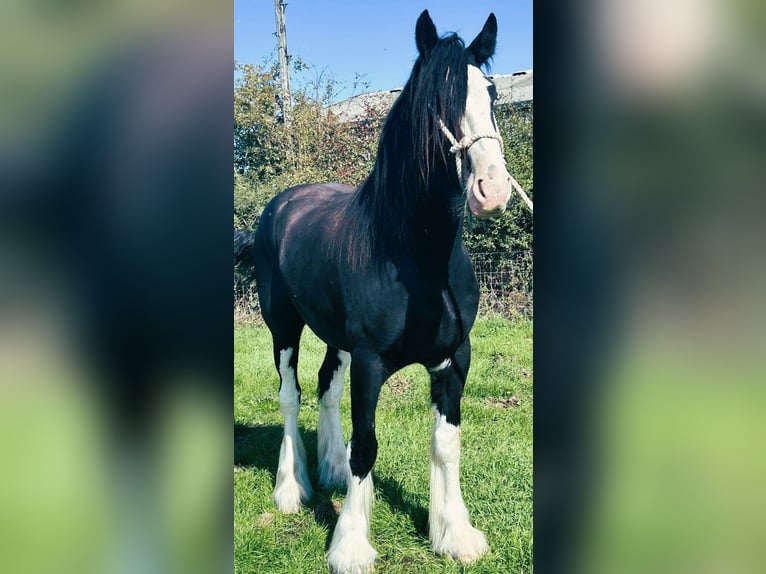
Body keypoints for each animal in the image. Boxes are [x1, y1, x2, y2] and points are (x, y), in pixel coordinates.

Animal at [250, 10, 513, 573]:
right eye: (436, 99)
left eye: (491, 93)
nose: (493, 190)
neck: (418, 261)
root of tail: (282, 204)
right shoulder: (370, 363)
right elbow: (366, 446)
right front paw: (350, 544)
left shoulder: (455, 358)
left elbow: (446, 444)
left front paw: (454, 534)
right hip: (283, 326)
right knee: (291, 396)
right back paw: (292, 490)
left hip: (335, 338)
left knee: (324, 388)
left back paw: (328, 470)